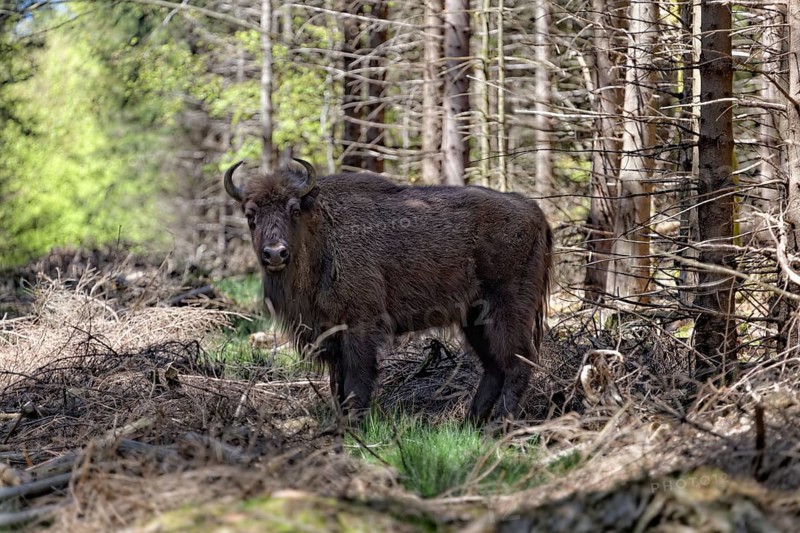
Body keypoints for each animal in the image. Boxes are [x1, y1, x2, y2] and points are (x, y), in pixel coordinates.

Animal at [223, 159, 552, 423]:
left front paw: (354, 425)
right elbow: (337, 384)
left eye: (293, 210)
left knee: (518, 362)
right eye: (250, 215)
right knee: (494, 367)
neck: (320, 231)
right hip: (474, 320)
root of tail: (533, 211)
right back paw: (470, 424)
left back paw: (500, 425)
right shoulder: (330, 334)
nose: (275, 253)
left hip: (507, 311)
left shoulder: (360, 326)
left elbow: (356, 380)